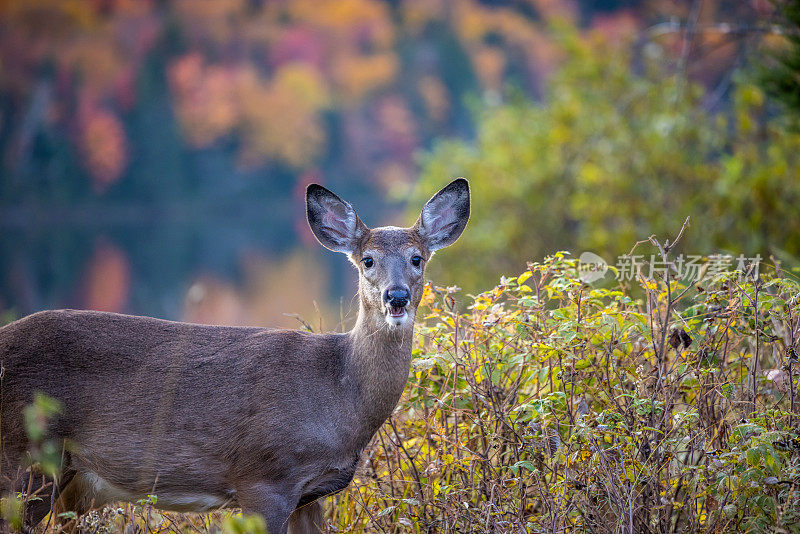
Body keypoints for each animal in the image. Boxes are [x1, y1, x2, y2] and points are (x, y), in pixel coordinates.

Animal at [0, 180, 472, 534]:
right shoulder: (263, 477)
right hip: (24, 455)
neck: (340, 394)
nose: (397, 297)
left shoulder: (310, 495)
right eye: (368, 260)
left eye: (417, 258)